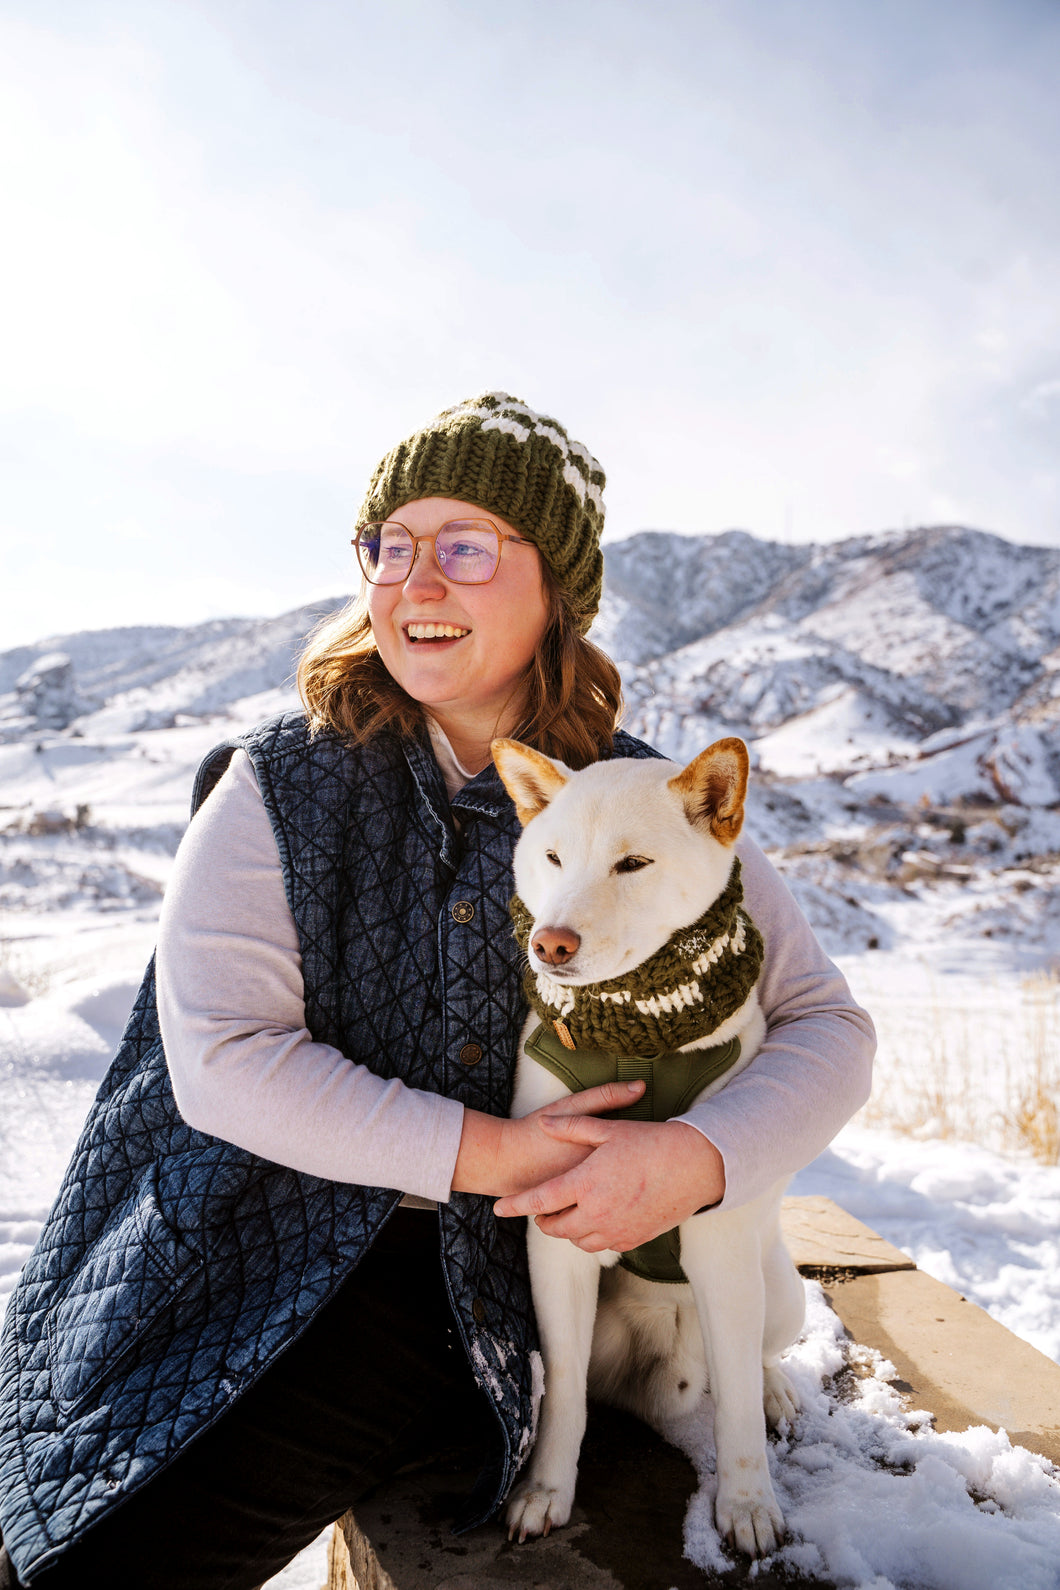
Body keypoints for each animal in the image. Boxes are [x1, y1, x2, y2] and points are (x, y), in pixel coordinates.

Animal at [495, 737, 804, 1558]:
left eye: (632, 864)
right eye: (553, 857)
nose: (550, 942)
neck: (637, 1031)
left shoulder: (721, 1249)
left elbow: (736, 1413)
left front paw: (748, 1504)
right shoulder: (555, 1244)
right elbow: (564, 1394)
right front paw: (545, 1492)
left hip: (777, 1289)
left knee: (753, 1362)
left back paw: (776, 1389)